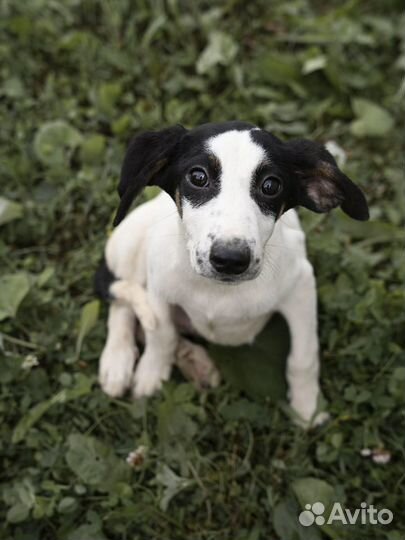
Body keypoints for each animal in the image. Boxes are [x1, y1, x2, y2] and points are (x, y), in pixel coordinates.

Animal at [96, 121, 368, 426]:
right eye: (198, 176)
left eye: (271, 185)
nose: (229, 259)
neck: (218, 291)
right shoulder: (158, 288)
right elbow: (161, 335)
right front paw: (151, 373)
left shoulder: (301, 288)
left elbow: (303, 357)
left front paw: (307, 406)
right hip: (128, 240)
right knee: (122, 301)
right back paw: (117, 361)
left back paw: (195, 361)